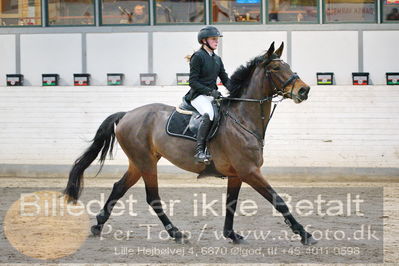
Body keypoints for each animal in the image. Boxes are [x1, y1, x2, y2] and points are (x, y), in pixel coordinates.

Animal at [64, 41, 318, 245]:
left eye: (288, 66)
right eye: (276, 69)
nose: (303, 90)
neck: (243, 119)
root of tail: (126, 114)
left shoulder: (237, 174)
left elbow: (231, 203)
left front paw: (231, 235)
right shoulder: (249, 171)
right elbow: (279, 201)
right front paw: (305, 234)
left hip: (138, 162)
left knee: (119, 187)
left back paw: (98, 225)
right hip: (146, 163)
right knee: (153, 198)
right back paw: (176, 233)